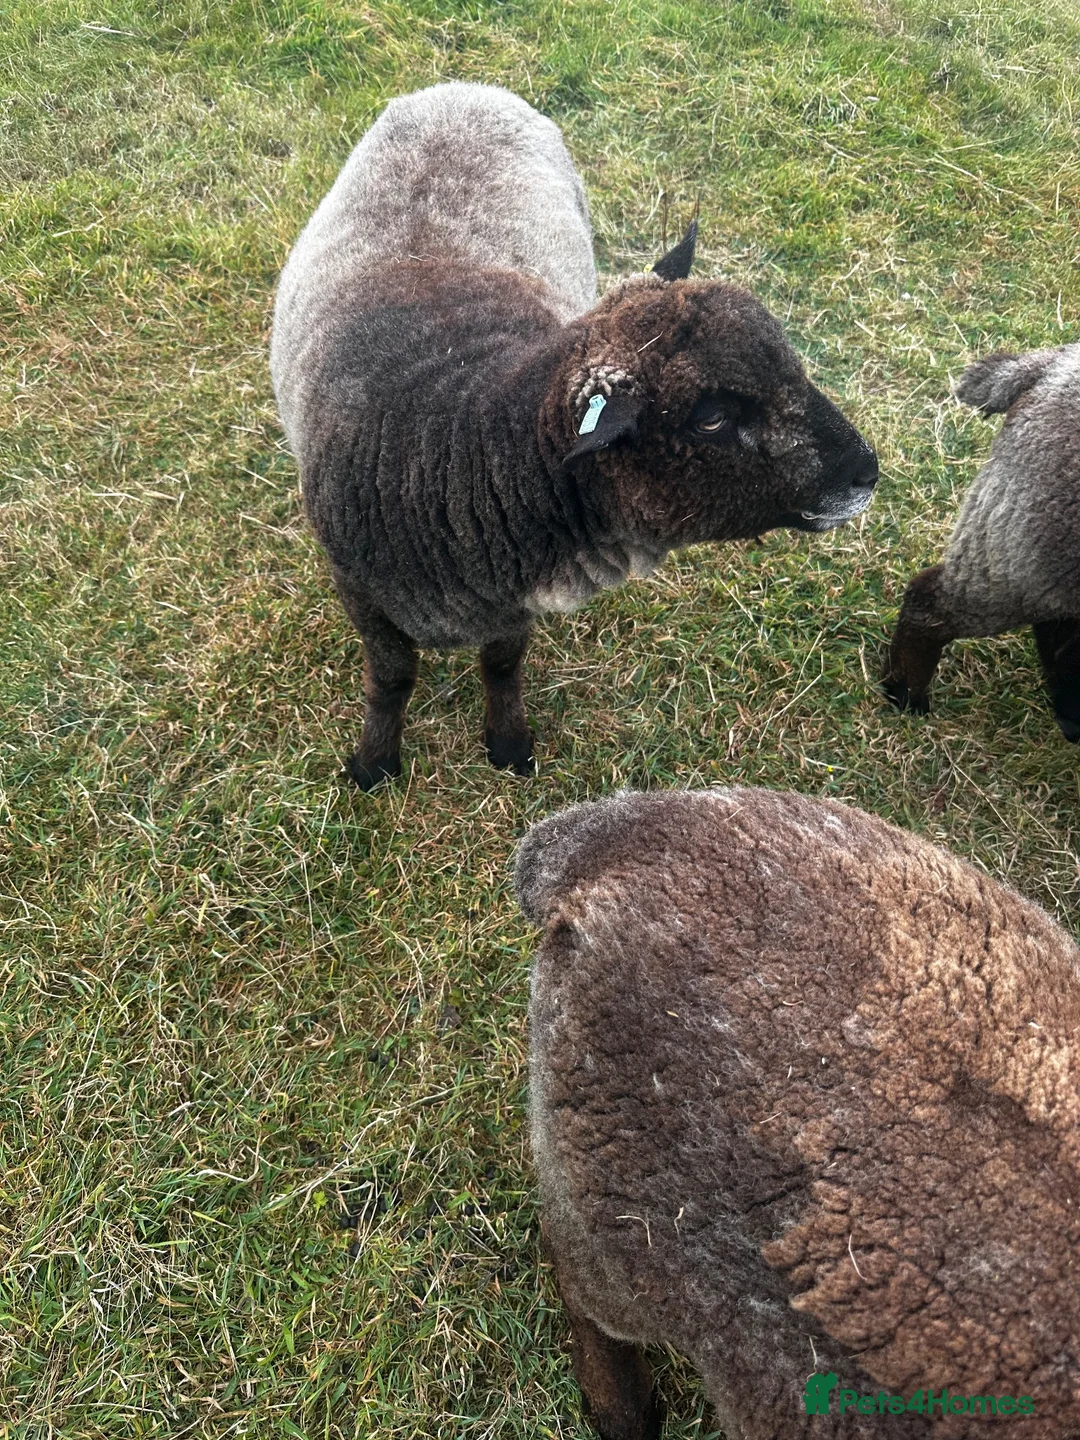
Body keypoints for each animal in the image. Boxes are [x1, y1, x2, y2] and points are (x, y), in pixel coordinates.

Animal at [271, 82, 879, 790]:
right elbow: (392, 679)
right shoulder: (361, 593)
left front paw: (508, 747)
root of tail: (465, 87)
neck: (451, 445)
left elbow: (502, 664)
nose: (867, 472)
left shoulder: (514, 599)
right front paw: (375, 764)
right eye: (710, 418)